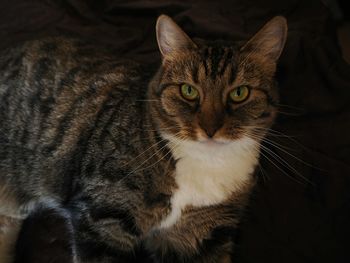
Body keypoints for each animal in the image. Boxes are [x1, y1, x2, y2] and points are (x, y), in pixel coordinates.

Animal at [0, 14, 288, 263]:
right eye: (188, 90)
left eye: (239, 93)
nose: (210, 128)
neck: (204, 164)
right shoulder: (102, 218)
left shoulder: (205, 234)